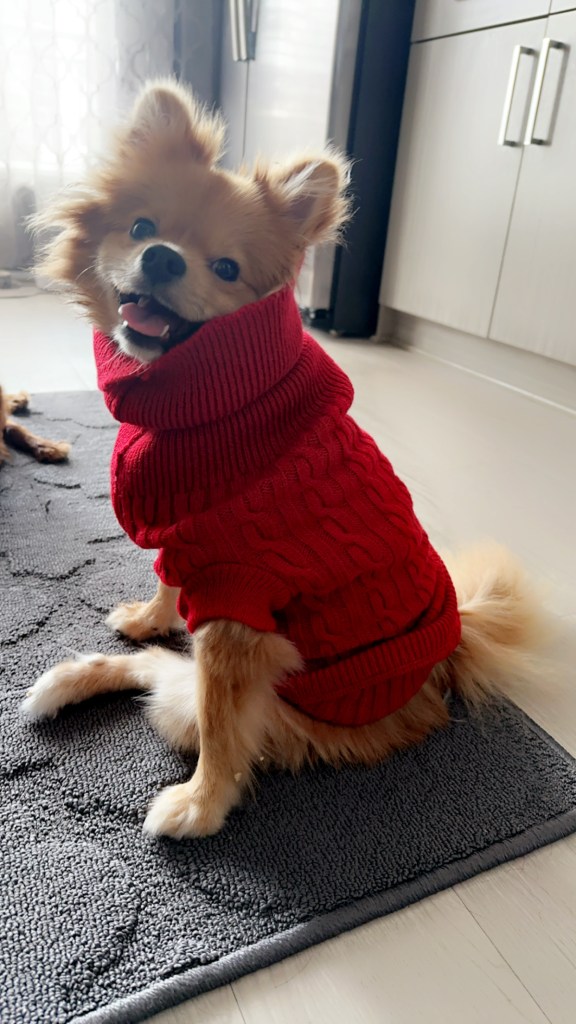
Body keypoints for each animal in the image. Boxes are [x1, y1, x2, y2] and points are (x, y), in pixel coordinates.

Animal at [22, 80, 551, 839]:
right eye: (141, 226)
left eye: (226, 269)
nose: (163, 257)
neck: (207, 403)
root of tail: (447, 662)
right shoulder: (190, 545)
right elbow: (168, 591)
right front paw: (149, 615)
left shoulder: (237, 605)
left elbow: (220, 725)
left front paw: (202, 803)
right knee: (157, 668)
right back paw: (65, 681)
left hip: (288, 704)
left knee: (191, 696)